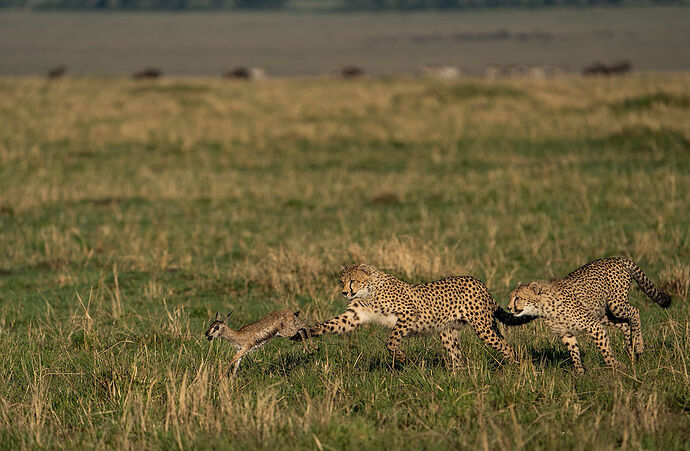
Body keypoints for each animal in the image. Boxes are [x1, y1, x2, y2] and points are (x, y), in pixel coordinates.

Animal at [298, 264, 528, 370]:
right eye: (341, 281)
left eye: (353, 280)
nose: (344, 292)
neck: (368, 291)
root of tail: (479, 281)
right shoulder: (353, 316)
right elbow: (330, 324)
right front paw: (305, 332)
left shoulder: (409, 313)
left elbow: (391, 340)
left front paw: (400, 356)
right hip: (449, 332)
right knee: (457, 356)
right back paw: (458, 377)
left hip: (483, 327)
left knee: (505, 345)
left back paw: (515, 368)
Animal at [508, 258, 668, 374]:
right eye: (511, 297)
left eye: (518, 298)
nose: (509, 308)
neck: (544, 308)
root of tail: (617, 258)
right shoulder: (566, 333)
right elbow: (574, 352)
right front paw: (580, 372)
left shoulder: (594, 326)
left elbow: (604, 350)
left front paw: (616, 366)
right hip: (603, 314)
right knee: (624, 323)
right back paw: (631, 350)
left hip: (616, 304)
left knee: (635, 311)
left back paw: (639, 346)